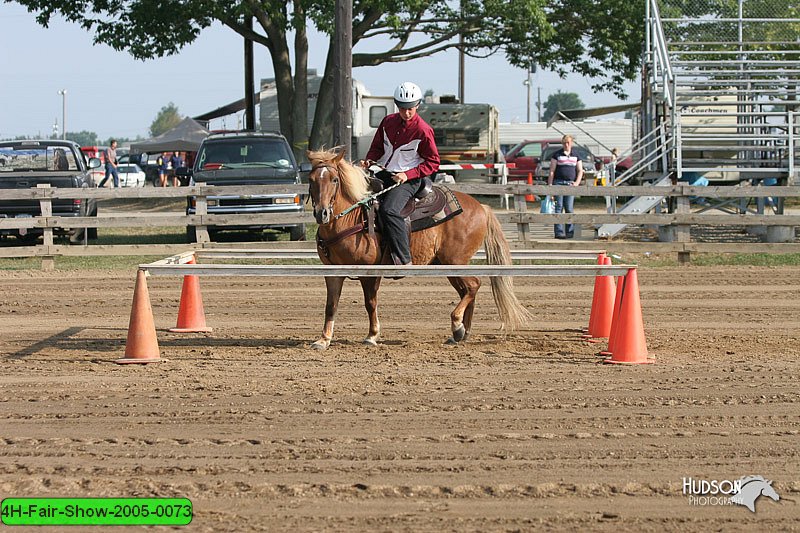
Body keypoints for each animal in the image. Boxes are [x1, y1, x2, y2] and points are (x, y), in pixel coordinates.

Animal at [306, 148, 532, 352]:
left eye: (335, 179)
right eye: (311, 179)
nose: (322, 213)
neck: (351, 218)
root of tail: (482, 207)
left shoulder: (370, 272)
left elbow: (370, 303)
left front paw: (372, 336)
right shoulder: (332, 273)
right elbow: (331, 305)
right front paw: (323, 340)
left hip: (455, 260)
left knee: (473, 285)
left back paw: (457, 325)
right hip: (447, 265)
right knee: (467, 290)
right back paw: (461, 333)